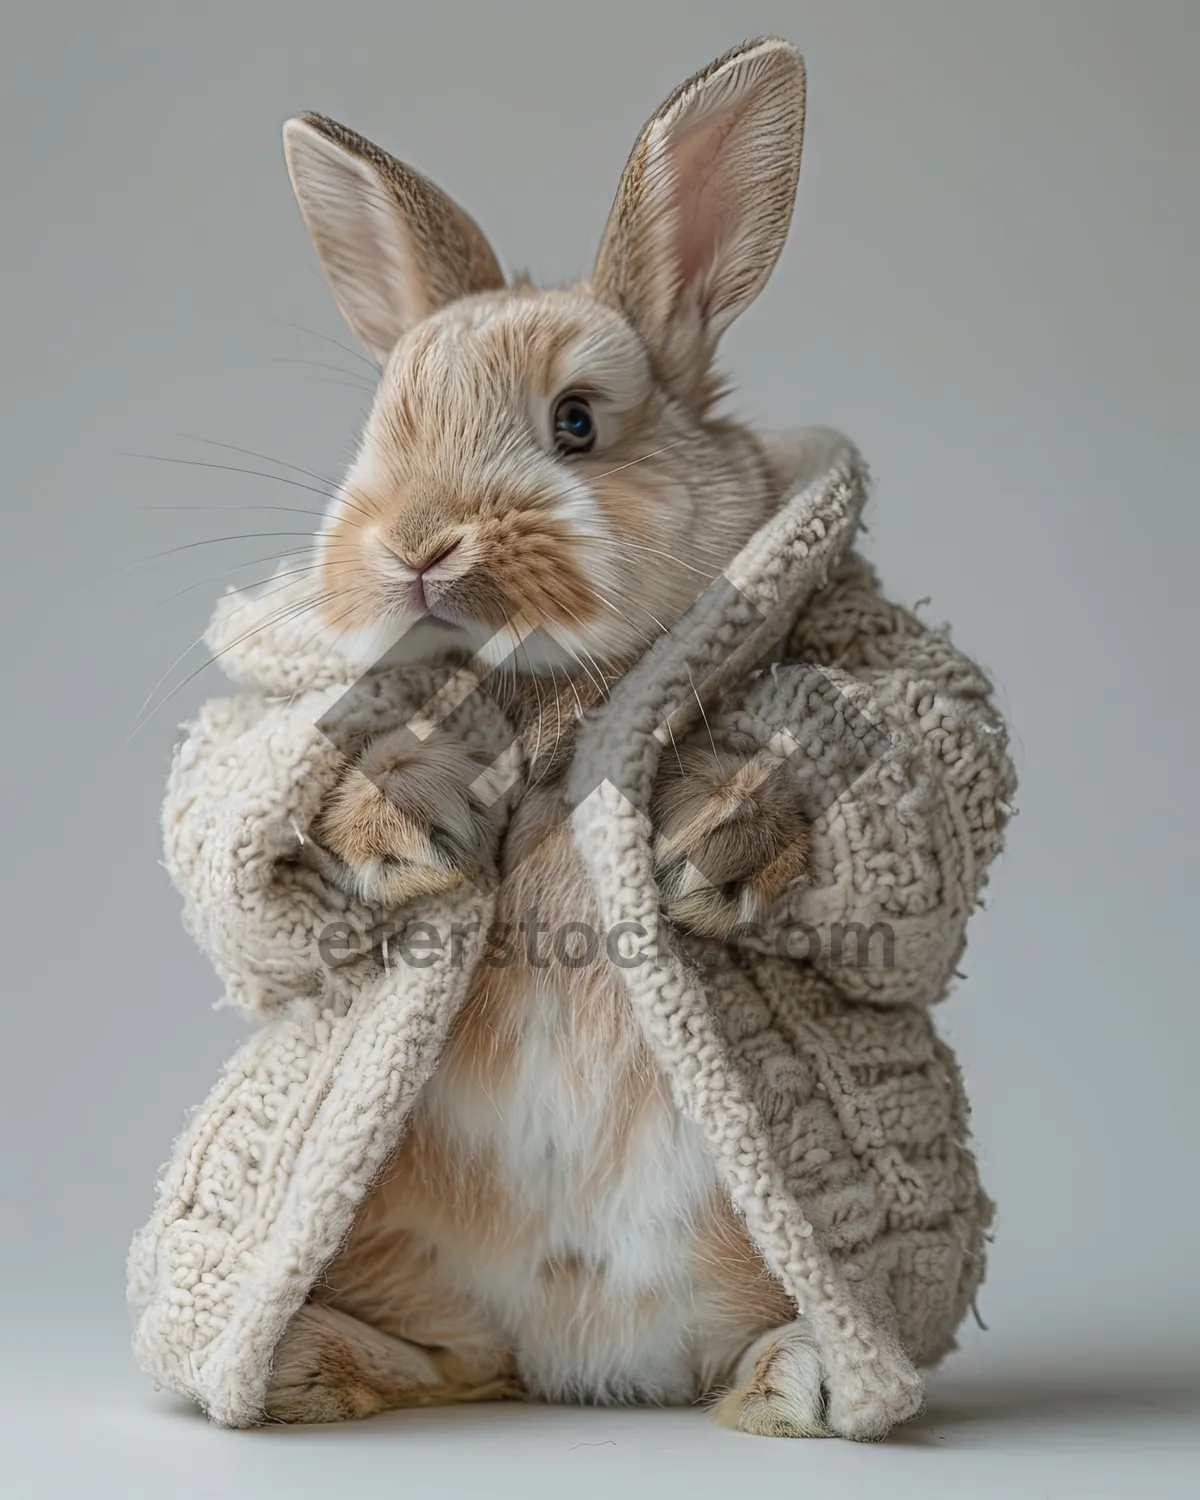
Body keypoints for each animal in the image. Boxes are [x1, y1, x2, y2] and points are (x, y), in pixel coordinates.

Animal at [265, 41, 828, 1434]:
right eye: (382, 429)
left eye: (576, 422)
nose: (417, 544)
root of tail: (574, 1358)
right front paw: (412, 826)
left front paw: (711, 844)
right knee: (448, 1358)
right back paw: (313, 1368)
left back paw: (795, 1378)